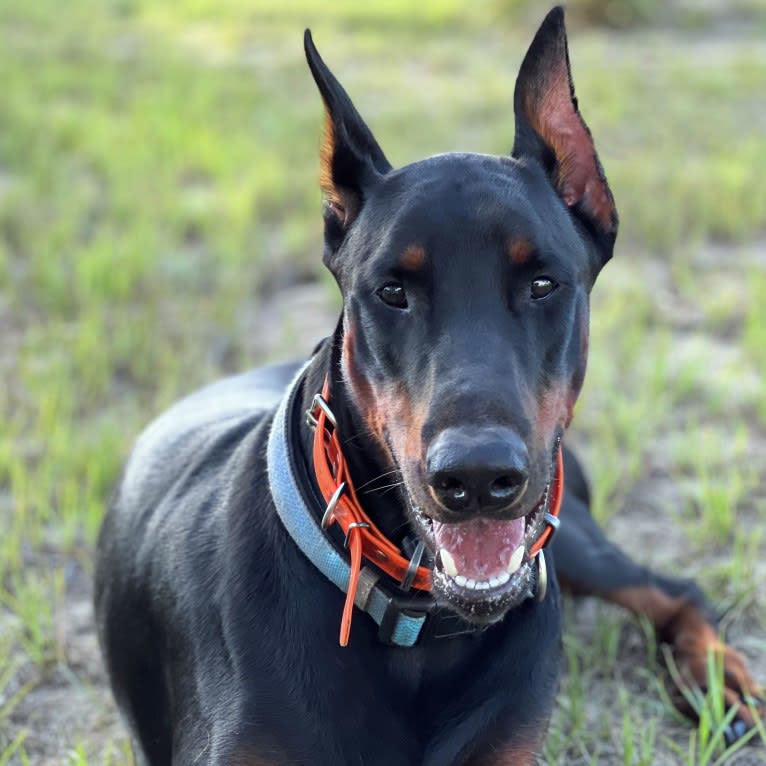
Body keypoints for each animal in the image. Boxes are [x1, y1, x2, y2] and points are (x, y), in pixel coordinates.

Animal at [94, 7, 760, 766]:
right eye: (392, 291)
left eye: (543, 283)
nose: (476, 477)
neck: (416, 628)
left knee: (674, 589)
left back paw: (724, 684)